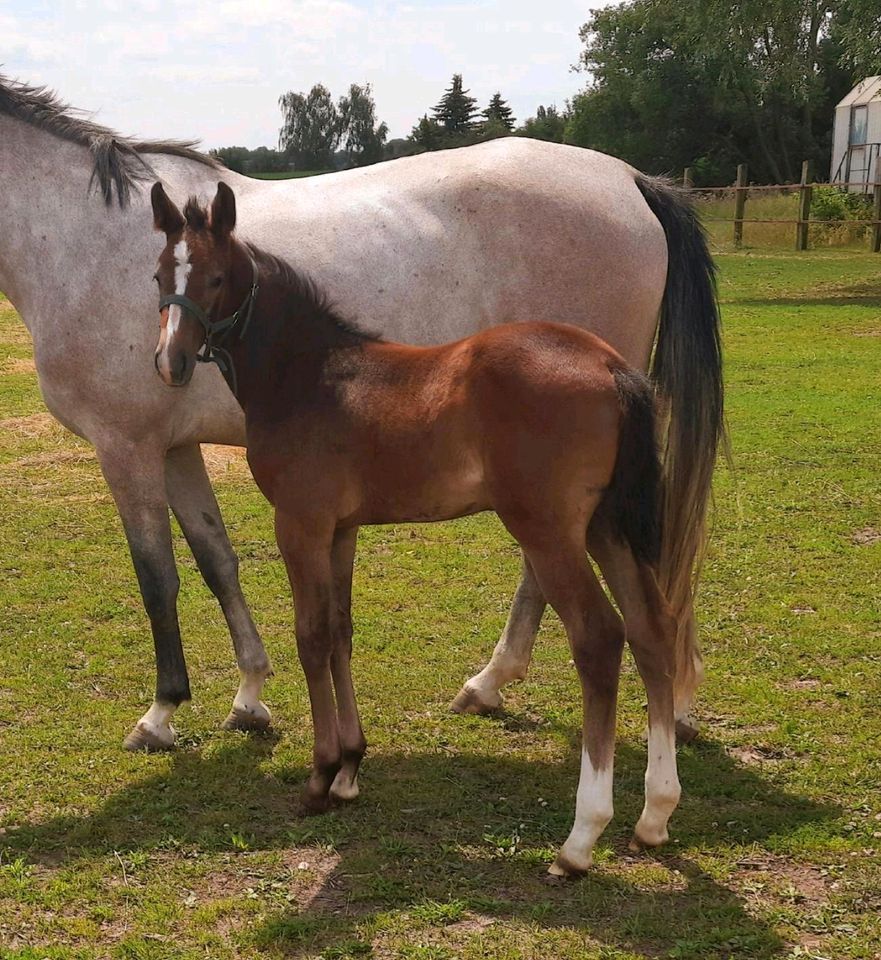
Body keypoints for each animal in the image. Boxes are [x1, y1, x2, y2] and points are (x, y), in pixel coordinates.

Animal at [148, 182, 680, 876]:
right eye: (160, 275)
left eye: (215, 278)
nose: (171, 363)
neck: (308, 375)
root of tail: (611, 366)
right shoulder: (341, 530)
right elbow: (340, 633)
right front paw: (350, 768)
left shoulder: (301, 524)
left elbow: (311, 638)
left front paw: (320, 778)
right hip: (606, 528)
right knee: (652, 630)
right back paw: (655, 815)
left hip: (549, 532)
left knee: (599, 638)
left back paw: (580, 838)